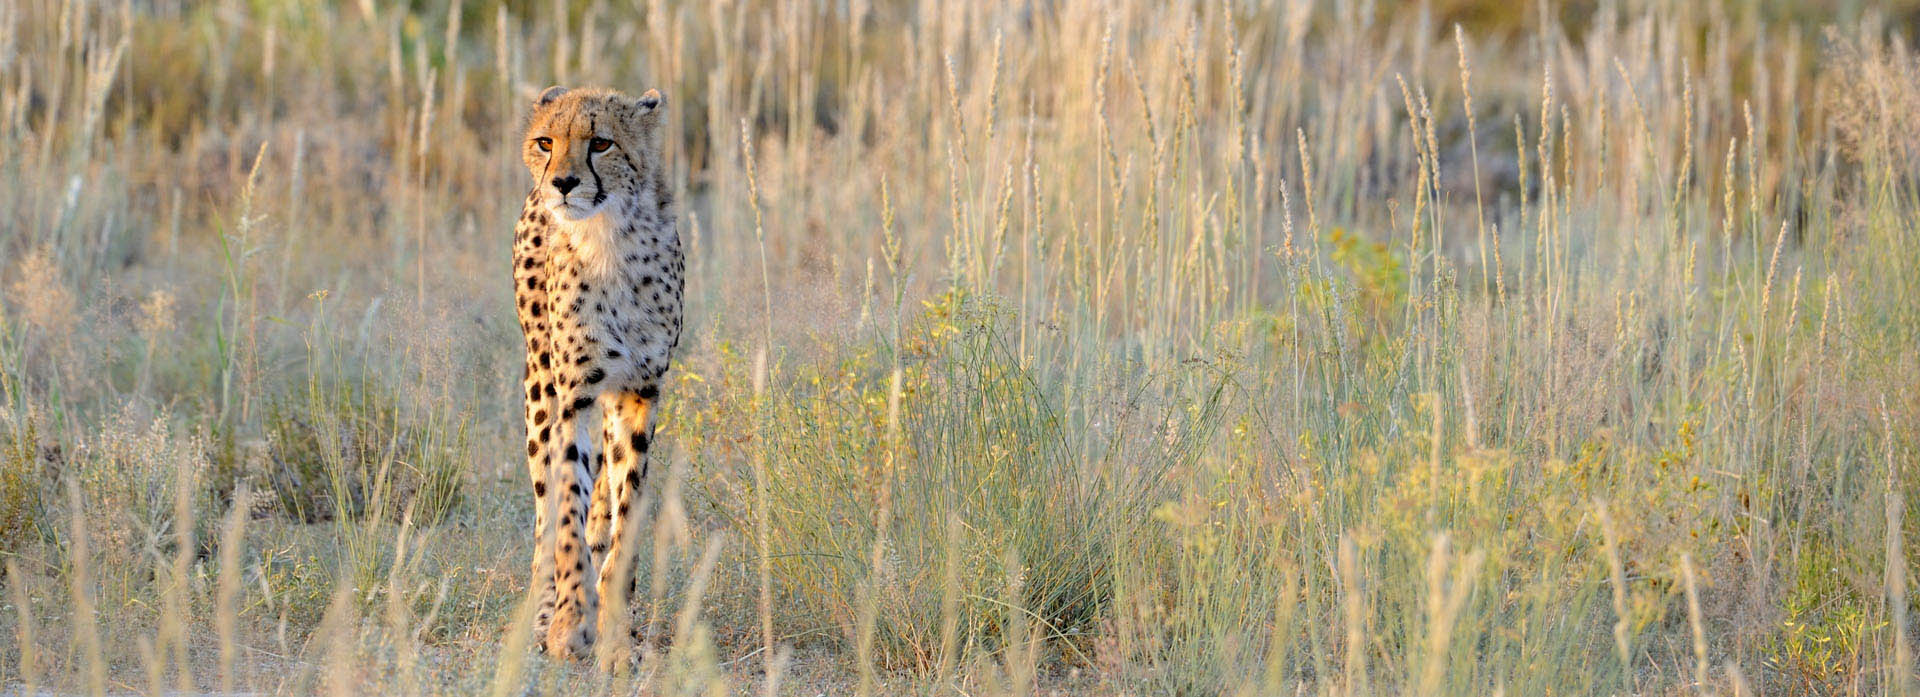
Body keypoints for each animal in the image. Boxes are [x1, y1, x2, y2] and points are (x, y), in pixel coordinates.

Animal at [514, 84, 687, 664]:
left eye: (602, 143)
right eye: (546, 142)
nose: (563, 183)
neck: (609, 236)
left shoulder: (640, 392)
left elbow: (625, 516)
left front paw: (615, 632)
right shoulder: (574, 395)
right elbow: (567, 505)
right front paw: (569, 622)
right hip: (539, 384)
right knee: (546, 511)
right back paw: (544, 612)